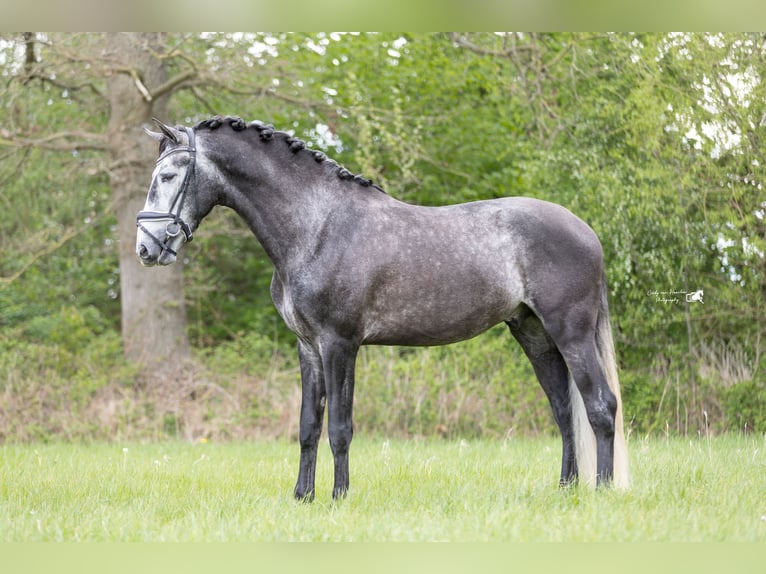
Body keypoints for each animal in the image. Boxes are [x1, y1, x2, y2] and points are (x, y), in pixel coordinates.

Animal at [136, 115, 629, 500]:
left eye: (168, 176)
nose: (146, 248)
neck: (317, 226)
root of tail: (587, 232)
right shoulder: (308, 347)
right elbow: (308, 426)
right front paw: (302, 497)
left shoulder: (340, 344)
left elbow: (340, 427)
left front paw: (339, 496)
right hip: (533, 333)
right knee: (564, 411)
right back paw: (565, 488)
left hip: (571, 332)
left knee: (600, 406)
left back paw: (602, 490)